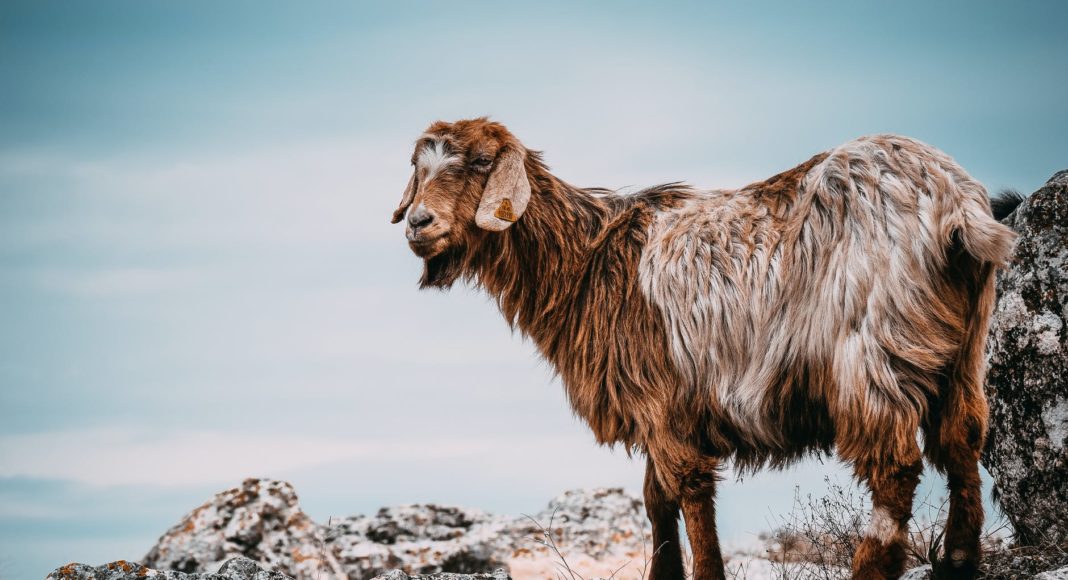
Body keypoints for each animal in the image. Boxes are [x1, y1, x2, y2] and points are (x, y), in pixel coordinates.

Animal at [390, 118, 1016, 580]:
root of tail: (955, 205)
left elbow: (688, 492)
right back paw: (959, 564)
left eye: (480, 163)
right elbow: (655, 498)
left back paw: (872, 568)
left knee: (895, 467)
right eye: (419, 168)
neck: (588, 261)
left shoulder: (666, 402)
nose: (418, 222)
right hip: (962, 353)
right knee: (962, 441)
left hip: (871, 355)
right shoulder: (652, 407)